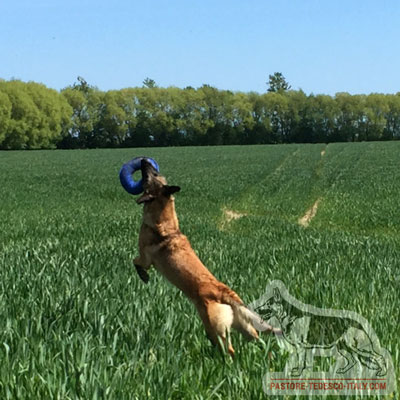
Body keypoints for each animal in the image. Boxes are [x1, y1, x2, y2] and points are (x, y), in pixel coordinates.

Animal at [133, 159, 276, 356]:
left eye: (153, 175)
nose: (144, 160)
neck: (163, 219)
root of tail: (225, 293)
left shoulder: (145, 258)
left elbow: (136, 262)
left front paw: (143, 277)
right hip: (244, 327)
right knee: (258, 340)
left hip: (216, 327)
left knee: (229, 348)